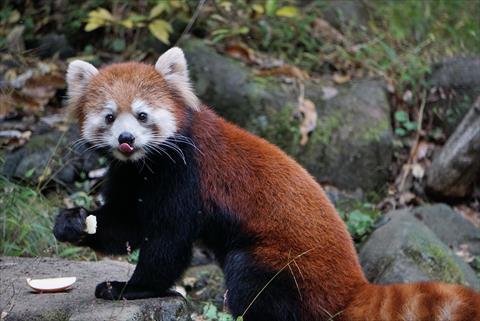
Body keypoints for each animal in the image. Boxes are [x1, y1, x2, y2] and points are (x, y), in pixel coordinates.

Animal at [52, 47, 480, 320]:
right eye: (110, 117)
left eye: (142, 115)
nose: (126, 139)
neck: (146, 165)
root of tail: (354, 286)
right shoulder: (129, 175)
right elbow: (125, 225)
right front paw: (73, 223)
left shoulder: (184, 175)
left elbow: (167, 243)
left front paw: (131, 288)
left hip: (280, 264)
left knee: (251, 286)